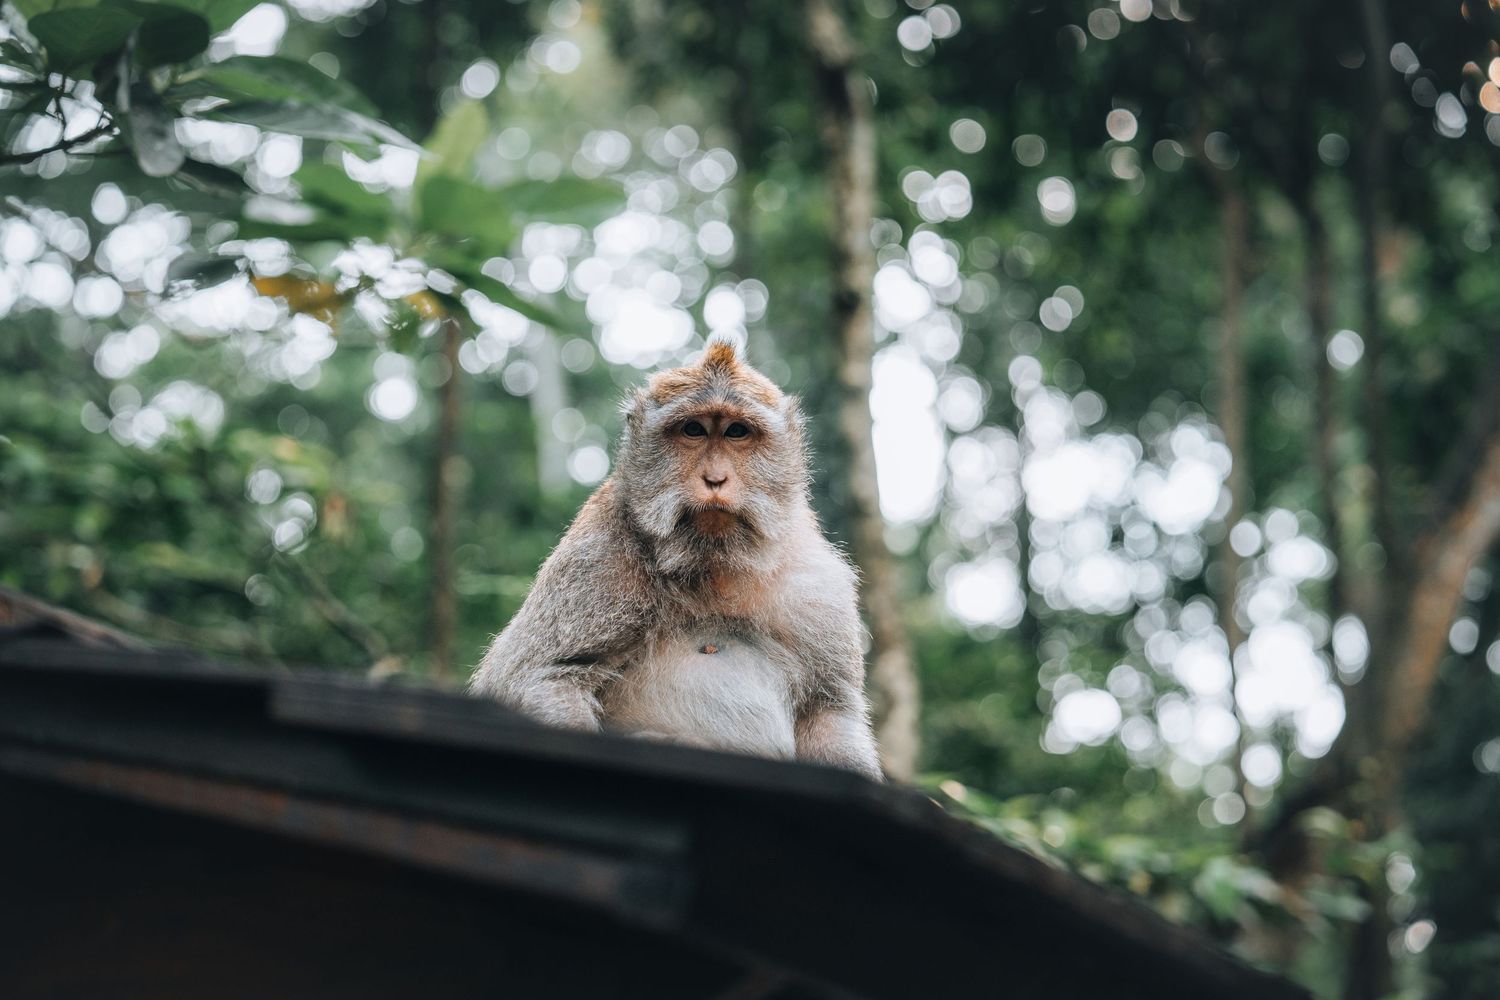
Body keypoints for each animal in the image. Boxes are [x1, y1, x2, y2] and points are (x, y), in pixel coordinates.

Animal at [469, 337, 884, 781]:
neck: (714, 565)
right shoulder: (596, 559)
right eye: (693, 430)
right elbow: (537, 678)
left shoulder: (816, 586)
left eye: (737, 431)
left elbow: (828, 713)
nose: (715, 479)